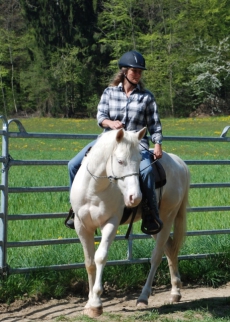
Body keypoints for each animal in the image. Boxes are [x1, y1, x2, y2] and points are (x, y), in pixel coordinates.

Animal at [70, 127, 190, 318]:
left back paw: (143, 297)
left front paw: (96, 303)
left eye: (139, 160)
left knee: (157, 256)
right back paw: (175, 292)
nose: (136, 197)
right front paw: (89, 303)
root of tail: (179, 163)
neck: (94, 189)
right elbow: (89, 263)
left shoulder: (110, 223)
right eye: (120, 161)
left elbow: (100, 257)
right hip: (156, 227)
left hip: (168, 217)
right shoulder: (82, 226)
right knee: (170, 249)